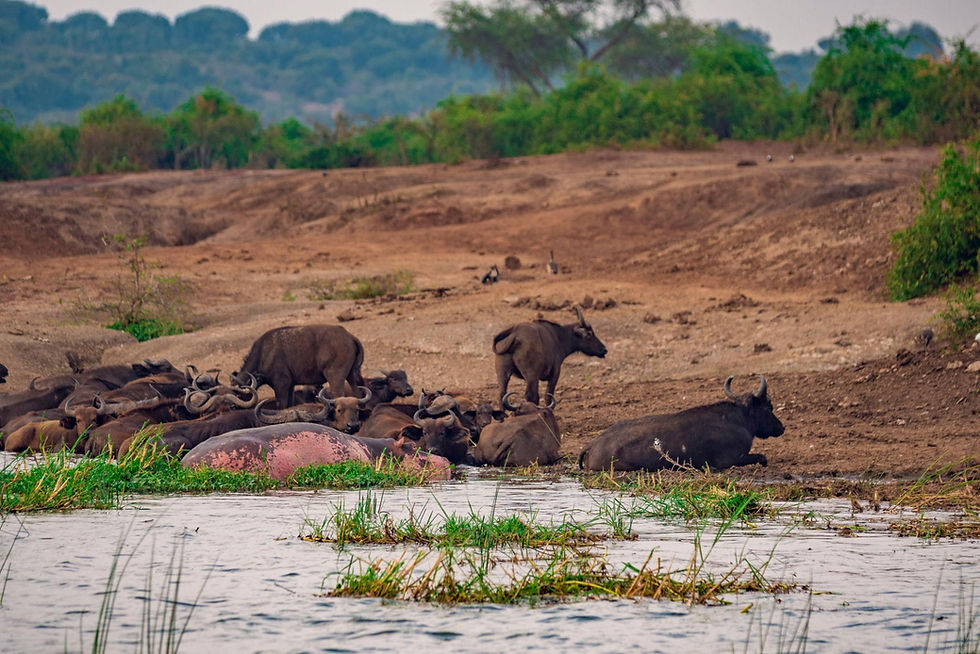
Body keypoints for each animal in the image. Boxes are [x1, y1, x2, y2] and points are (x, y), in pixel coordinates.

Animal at [233, 325, 365, 408]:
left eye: (237, 394)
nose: (233, 405)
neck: (264, 353)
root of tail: (349, 336)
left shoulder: (281, 386)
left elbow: (281, 406)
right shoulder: (290, 386)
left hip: (335, 379)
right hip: (352, 376)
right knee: (358, 395)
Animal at [579, 375, 784, 472]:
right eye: (768, 407)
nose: (781, 427)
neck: (740, 419)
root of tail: (592, 443)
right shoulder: (733, 459)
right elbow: (762, 456)